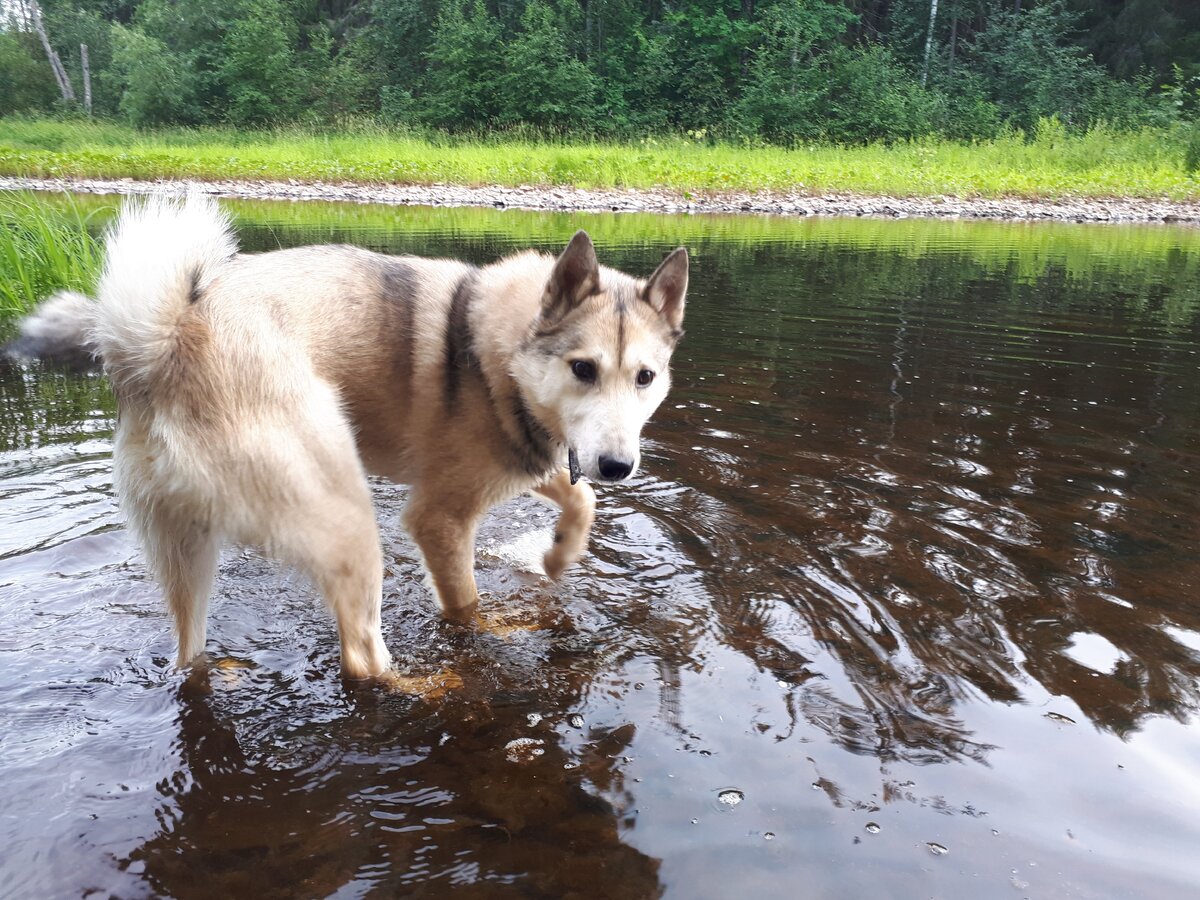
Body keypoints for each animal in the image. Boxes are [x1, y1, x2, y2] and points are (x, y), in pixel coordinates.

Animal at [9, 195, 691, 676]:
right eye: (583, 369)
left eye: (645, 377)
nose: (619, 465)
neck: (493, 353)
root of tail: (166, 342)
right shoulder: (439, 517)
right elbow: (466, 607)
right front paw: (494, 626)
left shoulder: (530, 463)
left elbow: (581, 496)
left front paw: (558, 555)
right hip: (351, 527)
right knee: (362, 658)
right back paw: (430, 685)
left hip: (188, 559)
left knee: (188, 651)